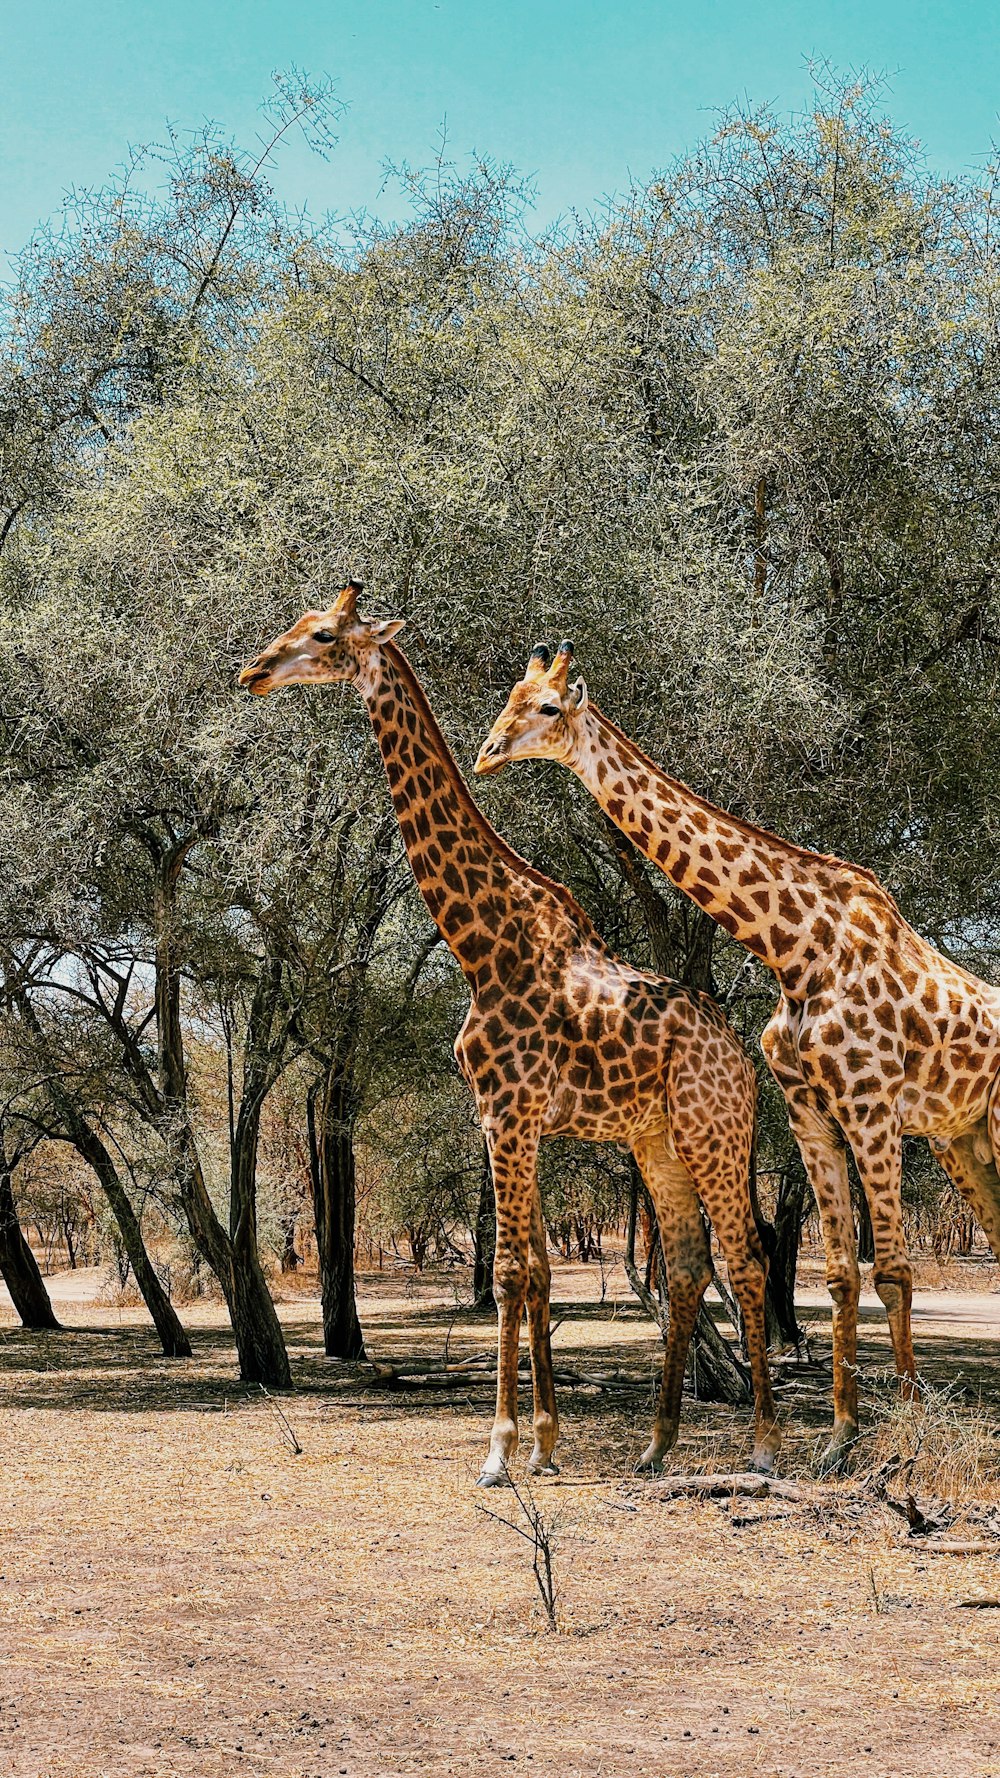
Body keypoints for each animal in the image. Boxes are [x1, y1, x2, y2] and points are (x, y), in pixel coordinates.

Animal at [240, 586, 779, 1486]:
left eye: (322, 634)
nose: (252, 671)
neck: (481, 944)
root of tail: (744, 1061)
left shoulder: (510, 1114)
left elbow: (512, 1270)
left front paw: (499, 1450)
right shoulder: (503, 1120)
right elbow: (536, 1271)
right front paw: (546, 1442)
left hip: (716, 1134)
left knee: (746, 1261)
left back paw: (767, 1446)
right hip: (657, 1141)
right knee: (687, 1267)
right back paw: (656, 1444)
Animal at [473, 640, 996, 1472]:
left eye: (547, 708)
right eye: (510, 699)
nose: (488, 753)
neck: (798, 948)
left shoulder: (871, 1103)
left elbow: (894, 1268)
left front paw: (907, 1441)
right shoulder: (811, 1107)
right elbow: (842, 1274)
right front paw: (838, 1444)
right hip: (962, 1143)